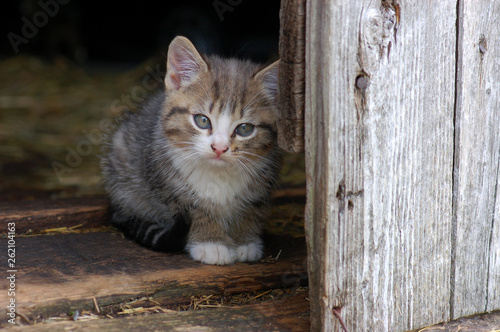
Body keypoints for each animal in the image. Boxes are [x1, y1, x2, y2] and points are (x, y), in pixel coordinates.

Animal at [100, 36, 282, 264]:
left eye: (245, 129)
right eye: (202, 120)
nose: (219, 148)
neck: (218, 172)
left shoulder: (263, 180)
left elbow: (251, 208)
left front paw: (245, 241)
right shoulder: (169, 184)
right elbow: (196, 211)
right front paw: (211, 243)